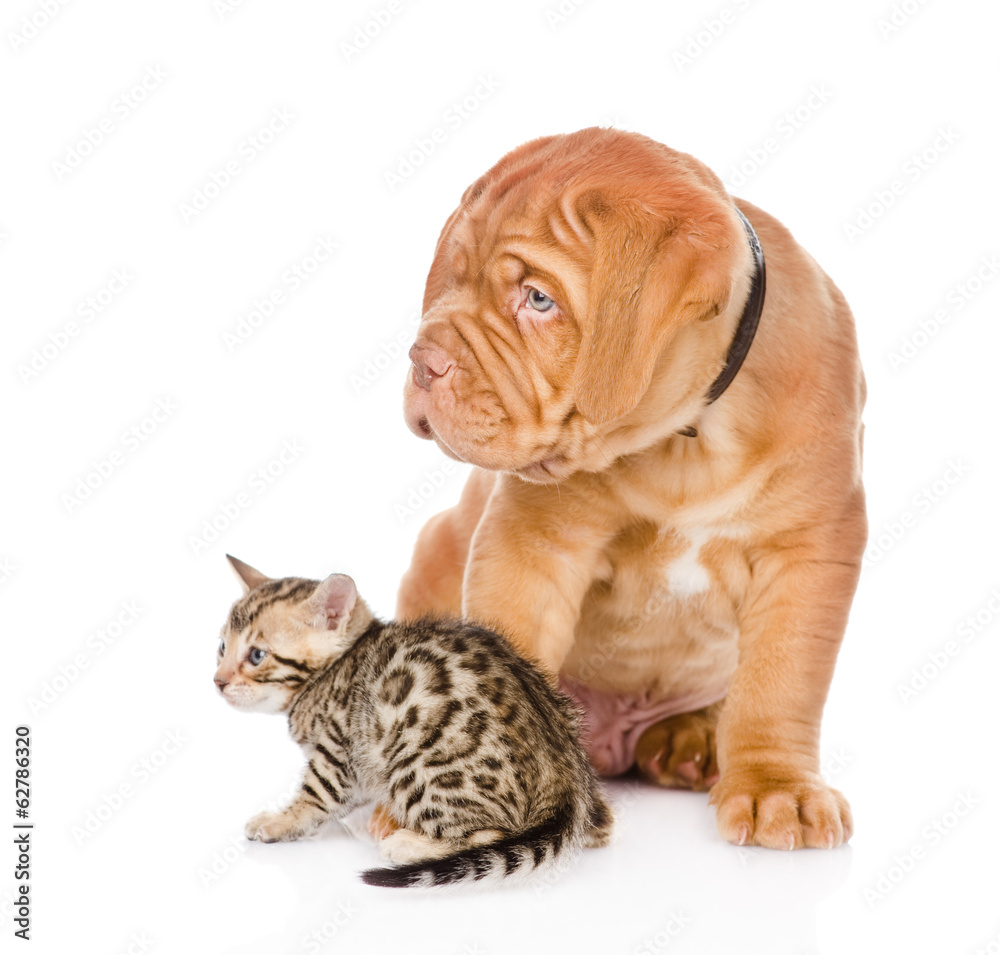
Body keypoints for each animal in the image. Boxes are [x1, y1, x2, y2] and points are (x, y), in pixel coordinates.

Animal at [215, 552, 612, 888]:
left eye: (256, 655)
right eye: (221, 647)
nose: (218, 681)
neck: (333, 670)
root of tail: (565, 779)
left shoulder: (339, 748)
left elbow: (316, 794)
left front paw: (279, 821)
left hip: (417, 761)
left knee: (492, 835)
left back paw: (409, 845)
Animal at [394, 127, 864, 852]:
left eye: (538, 299)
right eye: (454, 277)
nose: (423, 363)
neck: (687, 438)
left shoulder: (808, 553)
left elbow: (781, 682)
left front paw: (775, 789)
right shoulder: (534, 542)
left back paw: (692, 741)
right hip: (435, 546)